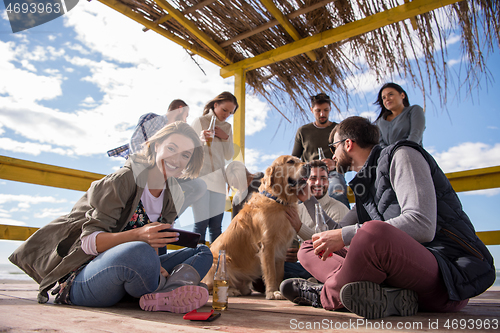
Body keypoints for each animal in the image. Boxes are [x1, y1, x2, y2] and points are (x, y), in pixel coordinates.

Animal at [200, 155, 308, 298]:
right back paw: (231, 291)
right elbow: (271, 272)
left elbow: (279, 273)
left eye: (299, 160)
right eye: (290, 161)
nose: (309, 165)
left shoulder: (282, 248)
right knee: (210, 287)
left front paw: (279, 290)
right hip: (220, 262)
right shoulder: (267, 244)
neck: (278, 200)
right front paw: (272, 292)